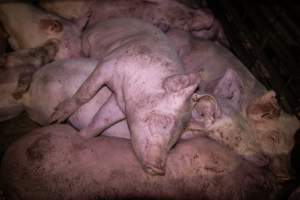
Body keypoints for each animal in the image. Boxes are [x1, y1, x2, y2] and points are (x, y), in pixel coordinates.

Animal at [49, 18, 199, 175]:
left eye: (174, 141)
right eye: (163, 120)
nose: (158, 169)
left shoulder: (120, 104)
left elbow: (102, 120)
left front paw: (81, 137)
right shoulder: (108, 65)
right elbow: (86, 93)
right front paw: (56, 118)